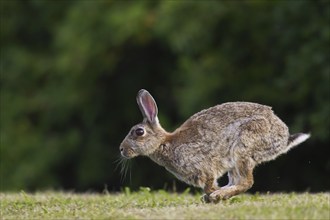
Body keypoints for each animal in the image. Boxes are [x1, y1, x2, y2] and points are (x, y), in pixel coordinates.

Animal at [118, 89, 310, 203]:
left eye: (139, 132)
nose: (121, 149)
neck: (164, 143)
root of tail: (283, 136)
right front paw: (210, 196)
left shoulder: (205, 168)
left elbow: (209, 184)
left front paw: (213, 194)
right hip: (236, 160)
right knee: (238, 181)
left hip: (244, 146)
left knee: (246, 182)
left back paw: (219, 195)